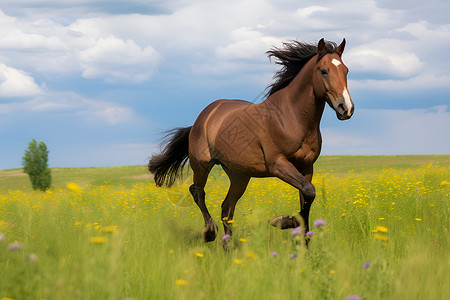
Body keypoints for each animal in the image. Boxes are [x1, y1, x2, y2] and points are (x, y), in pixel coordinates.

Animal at [149, 38, 354, 244]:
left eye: (346, 70)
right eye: (324, 71)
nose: (346, 108)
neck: (292, 117)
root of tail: (203, 117)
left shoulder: (307, 167)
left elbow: (307, 196)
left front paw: (301, 238)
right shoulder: (277, 164)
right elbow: (308, 192)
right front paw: (282, 221)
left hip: (239, 175)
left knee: (226, 208)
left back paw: (228, 245)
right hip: (202, 164)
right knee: (198, 192)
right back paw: (210, 232)